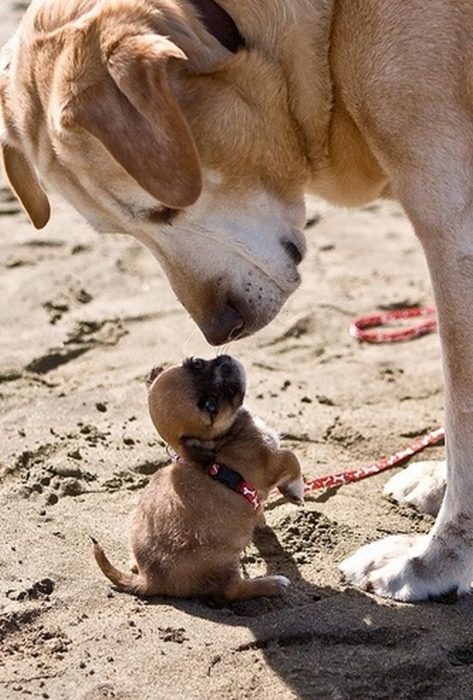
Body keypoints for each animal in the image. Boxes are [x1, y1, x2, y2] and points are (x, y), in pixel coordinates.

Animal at [93, 356, 302, 600]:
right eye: (211, 407)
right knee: (231, 590)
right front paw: (296, 491)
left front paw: (260, 519)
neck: (225, 438)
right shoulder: (272, 461)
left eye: (197, 363)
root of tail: (150, 579)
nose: (226, 365)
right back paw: (271, 584)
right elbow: (292, 458)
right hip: (224, 562)